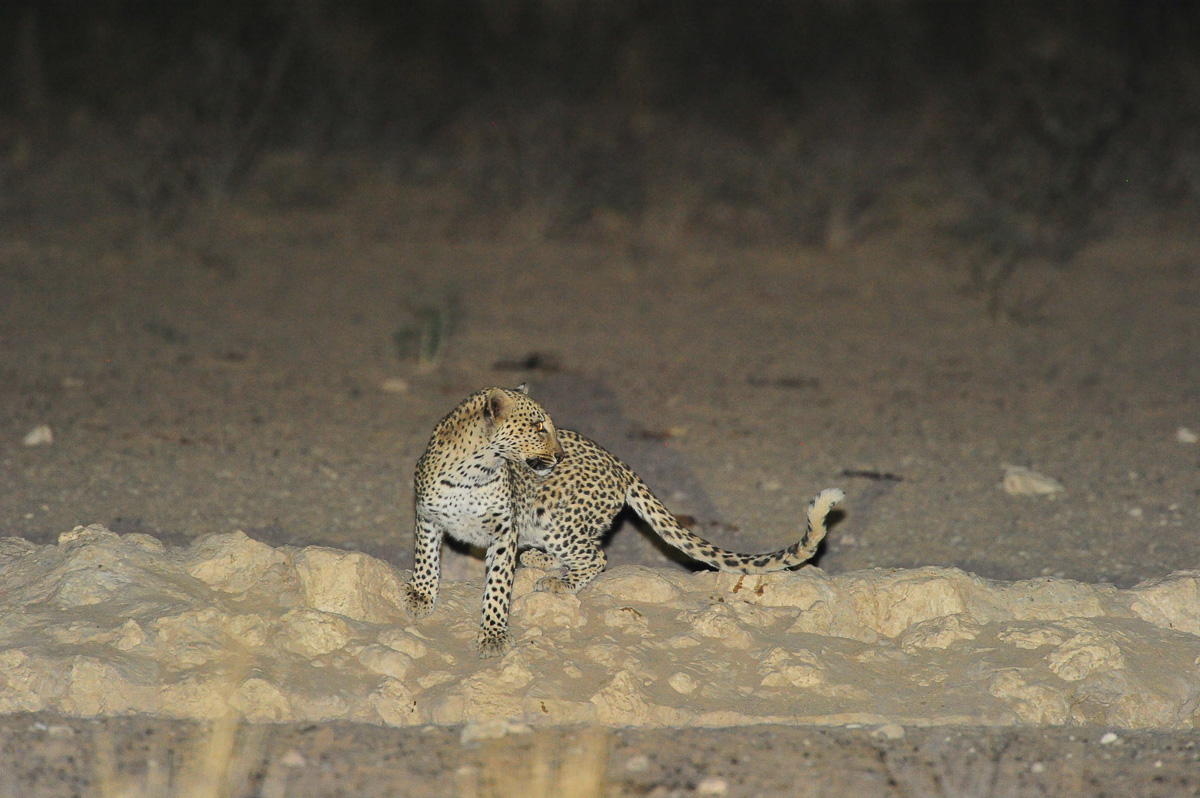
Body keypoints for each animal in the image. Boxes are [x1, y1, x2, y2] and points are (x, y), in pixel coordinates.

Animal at [402, 384, 844, 657]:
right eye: (537, 427)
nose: (559, 455)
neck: (473, 472)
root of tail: (619, 463)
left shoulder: (503, 529)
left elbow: (496, 587)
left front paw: (493, 634)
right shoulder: (427, 516)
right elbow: (425, 560)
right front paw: (421, 596)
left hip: (555, 519)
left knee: (595, 557)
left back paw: (558, 580)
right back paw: (538, 561)